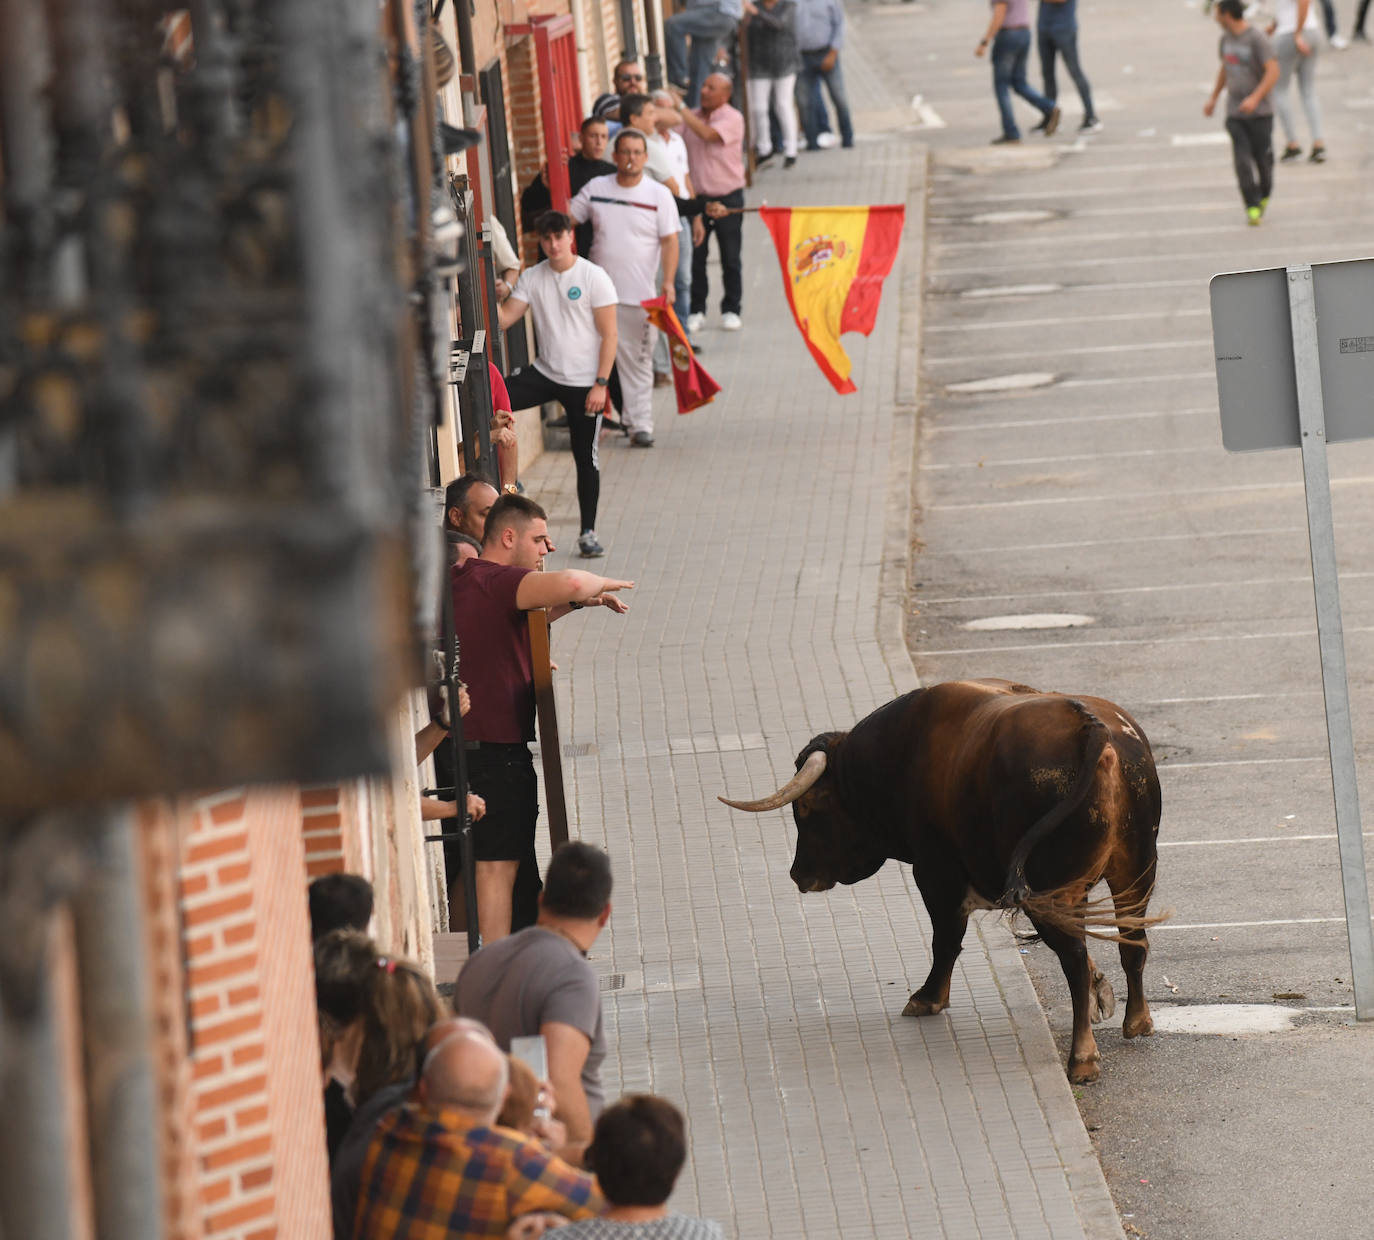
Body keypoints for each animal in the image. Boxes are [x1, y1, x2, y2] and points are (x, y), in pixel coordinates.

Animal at [725, 679, 1165, 1088]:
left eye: (806, 807)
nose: (798, 874)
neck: (901, 755)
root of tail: (1092, 730)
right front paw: (1101, 993)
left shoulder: (936, 875)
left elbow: (945, 941)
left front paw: (928, 997)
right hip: (1134, 871)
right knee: (1132, 942)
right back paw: (1137, 1020)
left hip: (1053, 889)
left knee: (1073, 957)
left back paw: (1082, 1058)